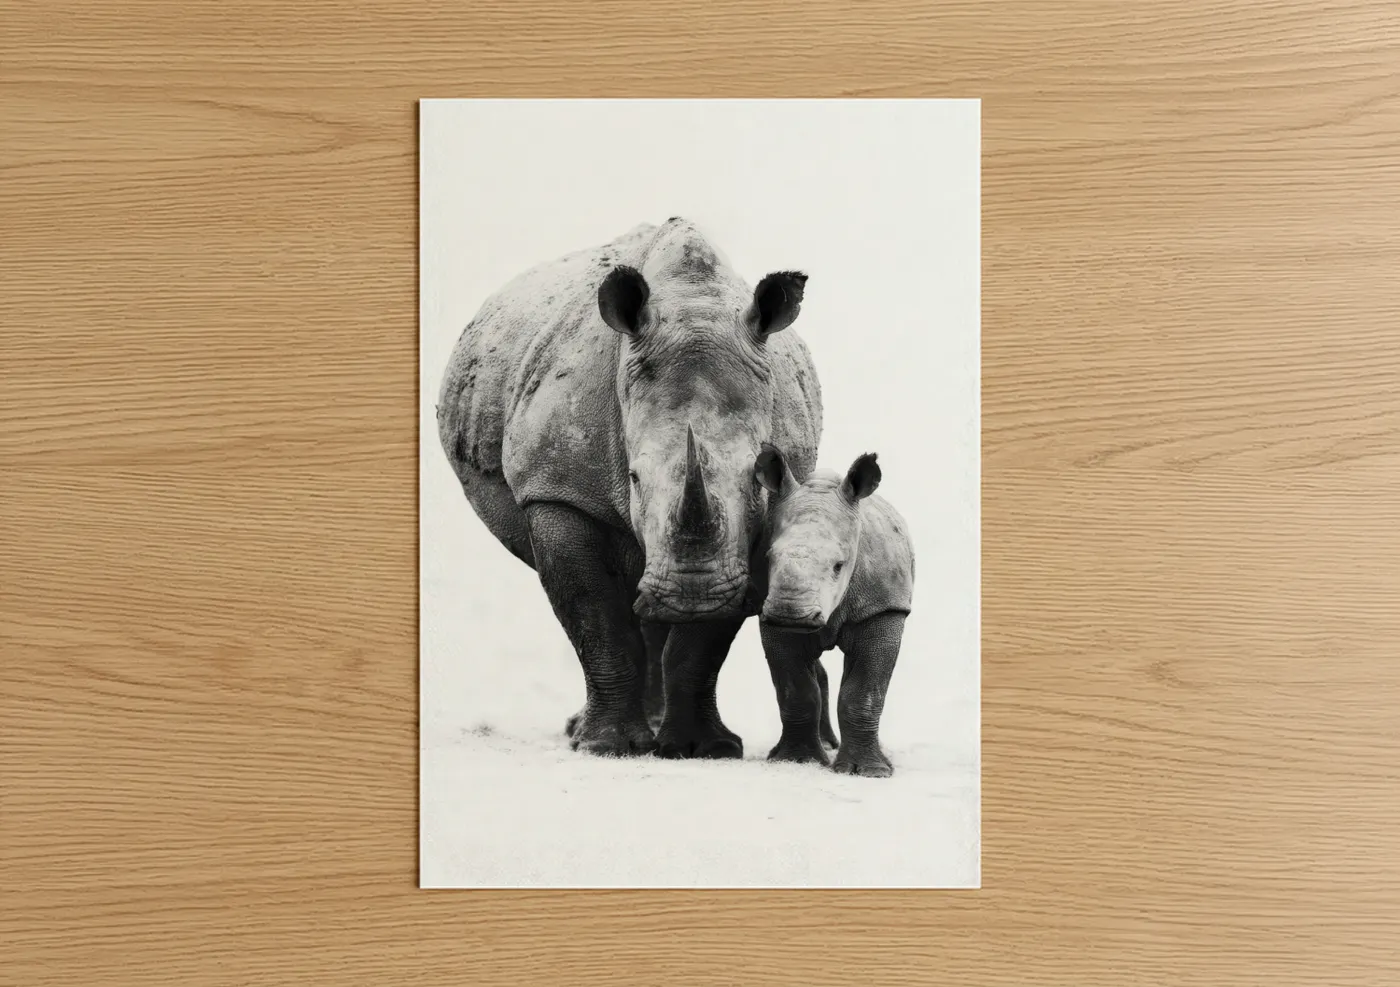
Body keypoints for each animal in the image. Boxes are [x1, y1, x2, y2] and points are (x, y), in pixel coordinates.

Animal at [436, 218, 822, 758]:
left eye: (756, 479)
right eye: (634, 478)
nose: (692, 595)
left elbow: (701, 644)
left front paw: (703, 748)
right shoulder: (558, 491)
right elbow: (594, 615)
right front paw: (606, 747)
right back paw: (587, 731)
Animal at [752, 445, 914, 777]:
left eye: (839, 565)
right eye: (769, 558)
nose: (791, 613)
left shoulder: (883, 608)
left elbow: (864, 692)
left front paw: (870, 772)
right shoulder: (770, 616)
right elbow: (796, 690)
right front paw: (797, 761)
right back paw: (825, 746)